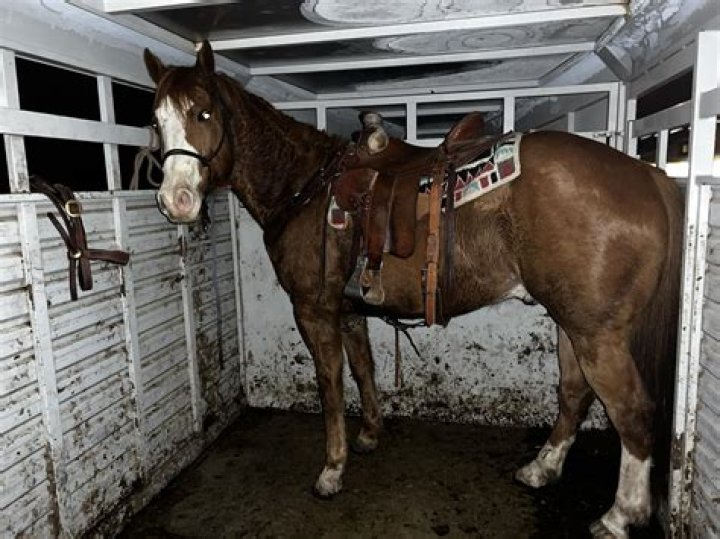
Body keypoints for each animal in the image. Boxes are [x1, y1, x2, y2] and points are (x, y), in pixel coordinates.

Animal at [143, 41, 682, 538]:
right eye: (156, 120)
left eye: (204, 112)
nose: (176, 200)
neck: (307, 186)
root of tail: (647, 175)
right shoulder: (348, 310)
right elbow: (363, 368)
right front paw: (370, 435)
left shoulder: (314, 311)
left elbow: (331, 385)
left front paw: (332, 470)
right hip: (571, 324)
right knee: (574, 393)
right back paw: (541, 469)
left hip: (597, 335)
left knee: (632, 413)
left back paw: (619, 515)